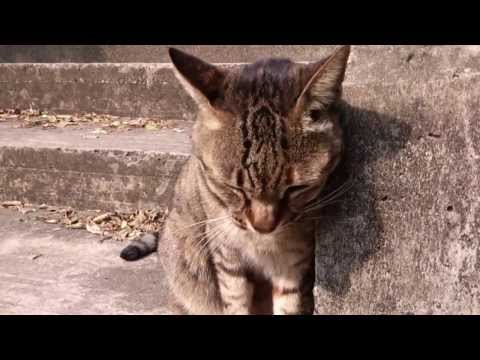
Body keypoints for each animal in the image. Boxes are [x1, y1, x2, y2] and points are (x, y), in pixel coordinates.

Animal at [122, 45, 350, 316]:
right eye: (232, 187)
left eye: (297, 188)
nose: (263, 227)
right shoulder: (227, 255)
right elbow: (235, 301)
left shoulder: (295, 260)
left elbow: (290, 303)